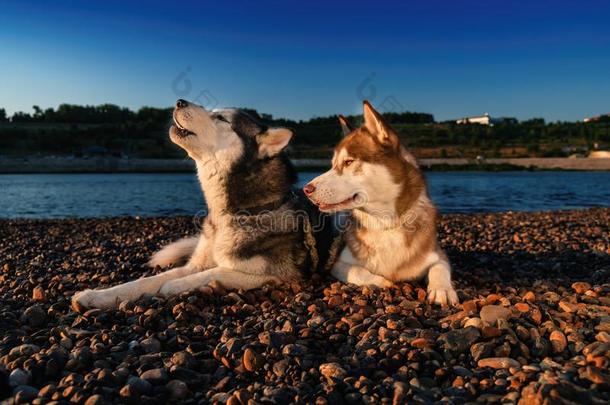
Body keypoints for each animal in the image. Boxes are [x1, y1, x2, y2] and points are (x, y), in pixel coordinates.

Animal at [73, 99, 334, 310]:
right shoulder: (195, 264)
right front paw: (94, 296)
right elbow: (146, 280)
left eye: (220, 118)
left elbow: (209, 273)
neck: (232, 214)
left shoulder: (276, 275)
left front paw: (173, 286)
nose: (179, 102)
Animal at [300, 102, 456, 306]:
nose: (306, 189)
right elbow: (357, 271)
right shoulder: (337, 263)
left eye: (348, 162)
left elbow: (440, 266)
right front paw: (382, 281)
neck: (385, 224)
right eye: (333, 165)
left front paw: (442, 289)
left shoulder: (437, 254)